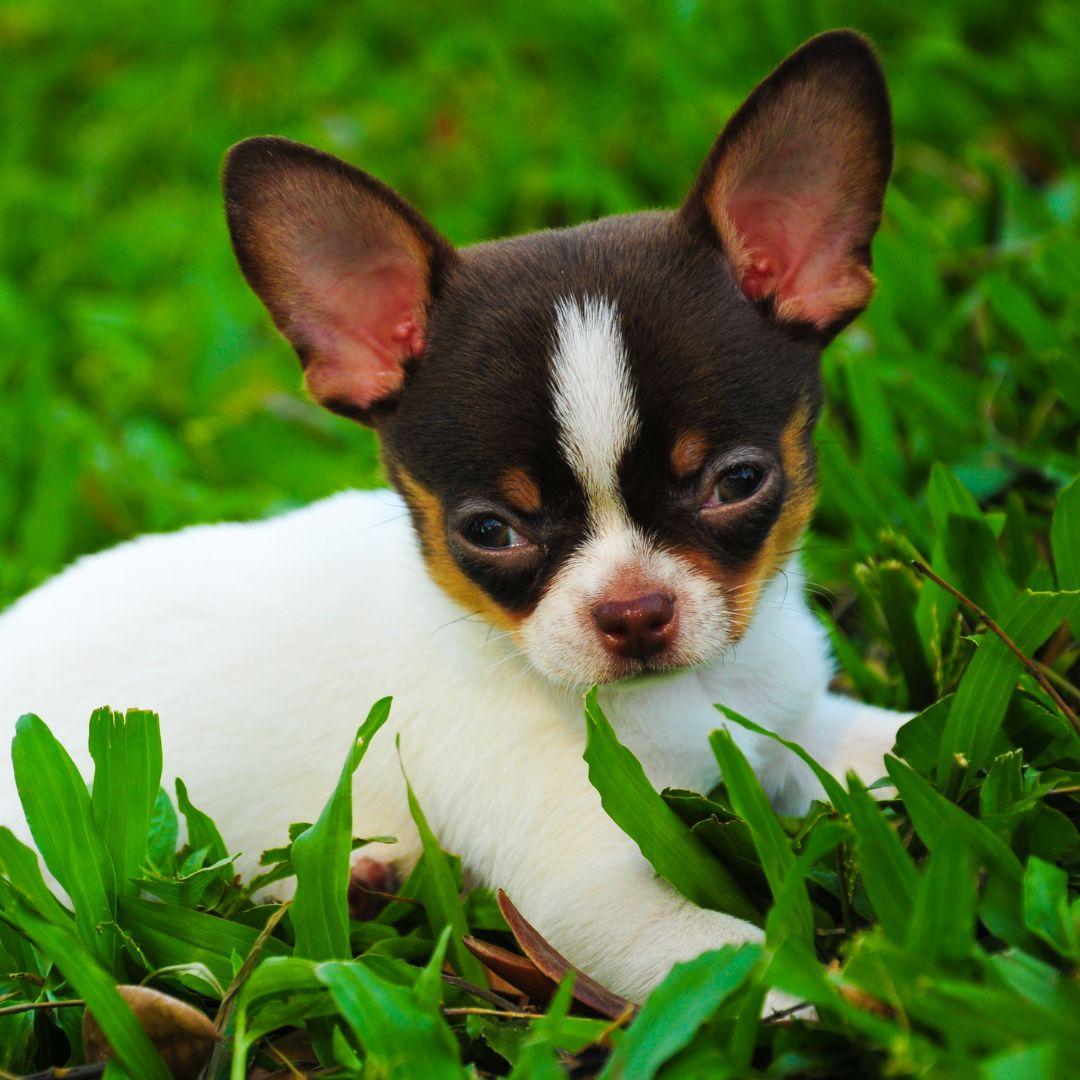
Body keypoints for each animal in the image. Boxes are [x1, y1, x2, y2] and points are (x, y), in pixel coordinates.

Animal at [2, 31, 902, 993]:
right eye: (489, 532)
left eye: (737, 483)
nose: (633, 614)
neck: (686, 695)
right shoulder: (584, 898)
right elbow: (736, 964)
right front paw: (849, 1000)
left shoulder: (799, 727)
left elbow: (898, 739)